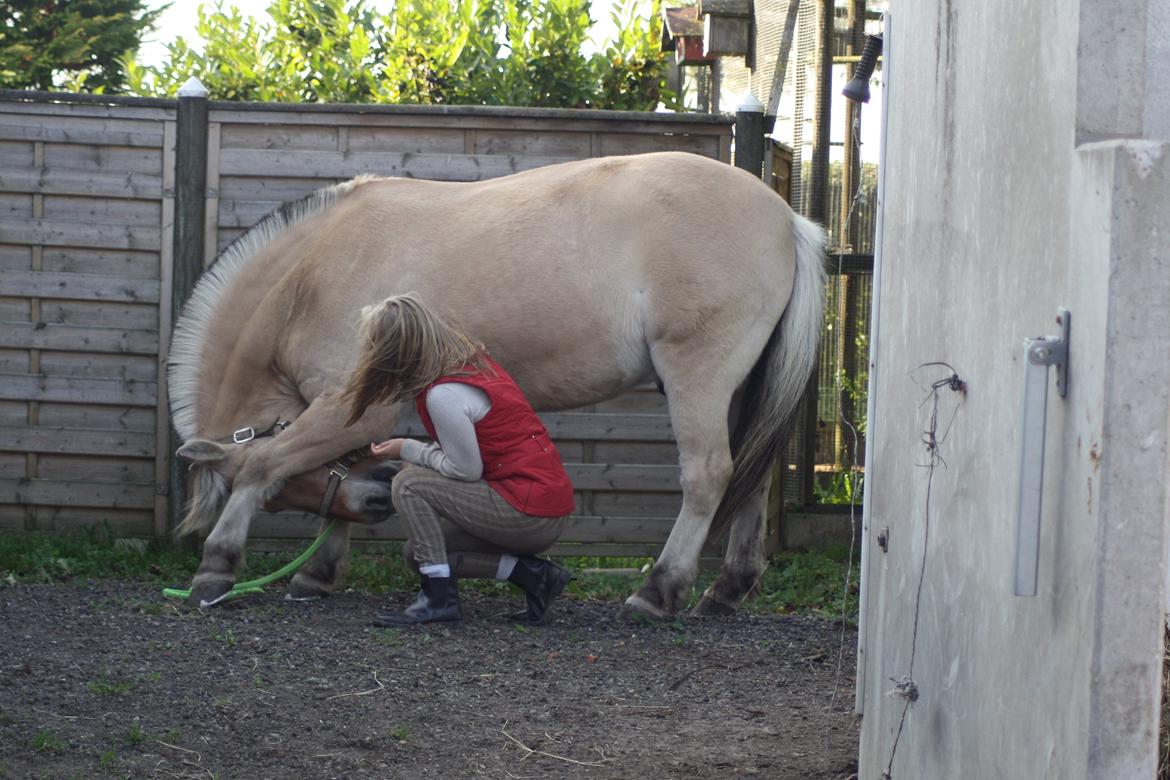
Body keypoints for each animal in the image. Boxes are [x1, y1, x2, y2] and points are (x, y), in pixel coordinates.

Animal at [173, 150, 828, 617]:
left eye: (282, 497)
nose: (380, 500)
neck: (308, 277)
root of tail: (786, 217)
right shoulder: (350, 419)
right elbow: (340, 470)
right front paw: (317, 572)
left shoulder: (348, 409)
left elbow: (262, 463)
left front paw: (216, 565)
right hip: (741, 389)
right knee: (750, 476)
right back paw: (727, 588)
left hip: (698, 376)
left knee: (710, 474)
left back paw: (659, 591)